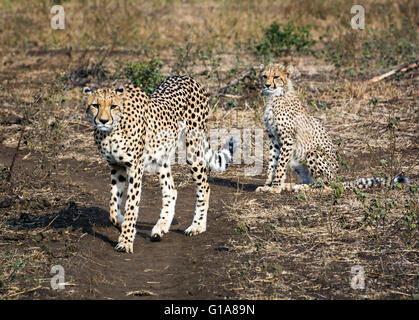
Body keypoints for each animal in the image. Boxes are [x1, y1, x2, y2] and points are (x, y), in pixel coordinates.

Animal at [83, 75, 235, 252]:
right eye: (95, 105)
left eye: (113, 106)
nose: (103, 120)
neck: (110, 132)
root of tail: (187, 77)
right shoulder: (116, 166)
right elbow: (113, 208)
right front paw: (122, 222)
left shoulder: (135, 167)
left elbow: (132, 204)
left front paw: (126, 241)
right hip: (160, 158)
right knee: (171, 190)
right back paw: (160, 227)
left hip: (193, 149)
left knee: (204, 186)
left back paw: (197, 226)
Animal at [254, 62, 408, 192]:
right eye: (264, 76)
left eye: (276, 76)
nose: (267, 85)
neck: (275, 97)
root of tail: (336, 179)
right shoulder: (274, 138)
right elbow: (272, 163)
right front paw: (268, 185)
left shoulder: (287, 139)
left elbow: (280, 165)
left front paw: (275, 187)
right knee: (313, 181)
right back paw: (292, 185)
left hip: (313, 153)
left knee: (325, 186)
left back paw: (304, 188)